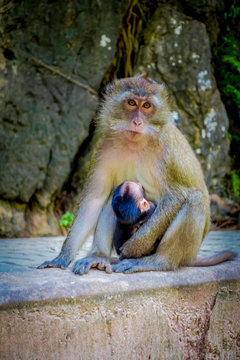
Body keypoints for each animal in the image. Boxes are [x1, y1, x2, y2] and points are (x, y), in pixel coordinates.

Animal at [38, 74, 235, 274]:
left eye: (146, 106)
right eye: (132, 103)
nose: (137, 122)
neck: (136, 143)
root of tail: (191, 256)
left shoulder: (167, 153)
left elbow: (176, 196)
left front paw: (134, 247)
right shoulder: (102, 148)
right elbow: (94, 199)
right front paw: (62, 256)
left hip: (188, 249)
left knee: (195, 199)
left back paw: (158, 262)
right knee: (111, 198)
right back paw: (99, 256)